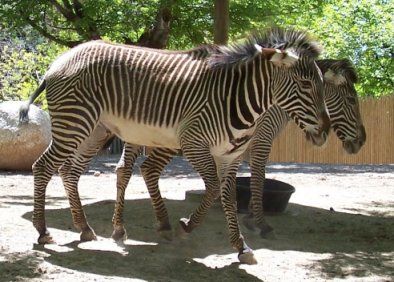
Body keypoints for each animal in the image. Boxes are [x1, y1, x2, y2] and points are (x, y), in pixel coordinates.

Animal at [20, 27, 330, 264]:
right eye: (304, 83)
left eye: (321, 84)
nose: (325, 131)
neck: (236, 98)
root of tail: (58, 62)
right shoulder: (194, 143)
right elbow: (213, 189)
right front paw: (186, 226)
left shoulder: (229, 157)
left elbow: (229, 199)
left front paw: (241, 247)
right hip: (76, 123)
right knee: (43, 167)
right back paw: (43, 232)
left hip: (95, 131)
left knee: (69, 172)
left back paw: (84, 229)